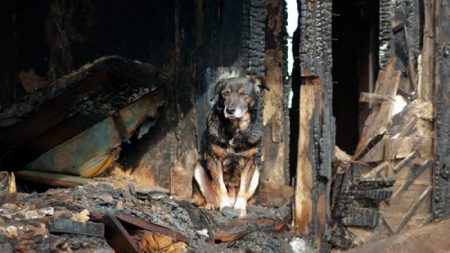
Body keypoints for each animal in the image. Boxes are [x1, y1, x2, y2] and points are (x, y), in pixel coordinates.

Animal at [192, 75, 268, 215]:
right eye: (225, 94)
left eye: (243, 94)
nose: (230, 110)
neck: (235, 130)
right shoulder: (214, 160)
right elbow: (220, 185)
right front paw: (225, 206)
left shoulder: (250, 162)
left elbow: (244, 188)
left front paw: (240, 209)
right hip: (198, 169)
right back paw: (212, 204)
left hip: (256, 173)